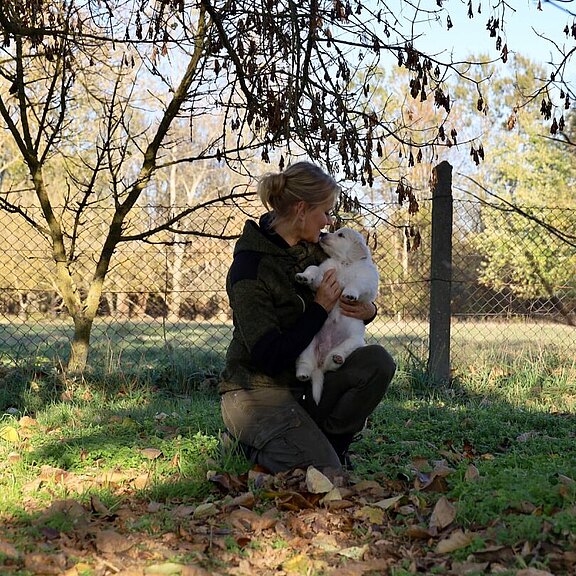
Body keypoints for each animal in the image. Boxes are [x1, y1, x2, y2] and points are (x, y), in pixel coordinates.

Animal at [294, 227, 380, 402]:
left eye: (340, 235)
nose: (322, 234)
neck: (343, 263)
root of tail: (319, 364)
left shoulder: (367, 282)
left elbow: (356, 283)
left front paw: (349, 294)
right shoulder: (323, 277)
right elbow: (313, 268)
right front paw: (304, 276)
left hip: (355, 341)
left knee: (334, 361)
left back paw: (337, 357)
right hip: (308, 342)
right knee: (305, 363)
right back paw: (303, 374)